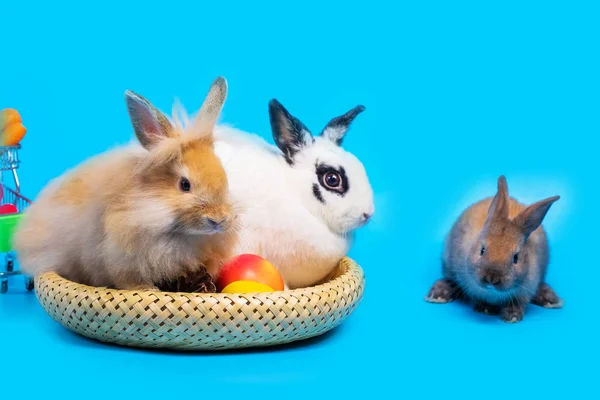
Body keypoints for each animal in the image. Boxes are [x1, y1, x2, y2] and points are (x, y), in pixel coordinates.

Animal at [12, 76, 238, 292]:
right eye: (184, 184)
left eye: (225, 177)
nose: (218, 220)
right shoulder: (119, 258)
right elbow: (127, 280)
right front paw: (147, 289)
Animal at [426, 175, 564, 322]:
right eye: (482, 250)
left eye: (516, 257)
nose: (492, 278)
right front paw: (485, 309)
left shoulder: (527, 289)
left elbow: (519, 303)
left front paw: (512, 316)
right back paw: (438, 294)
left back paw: (551, 299)